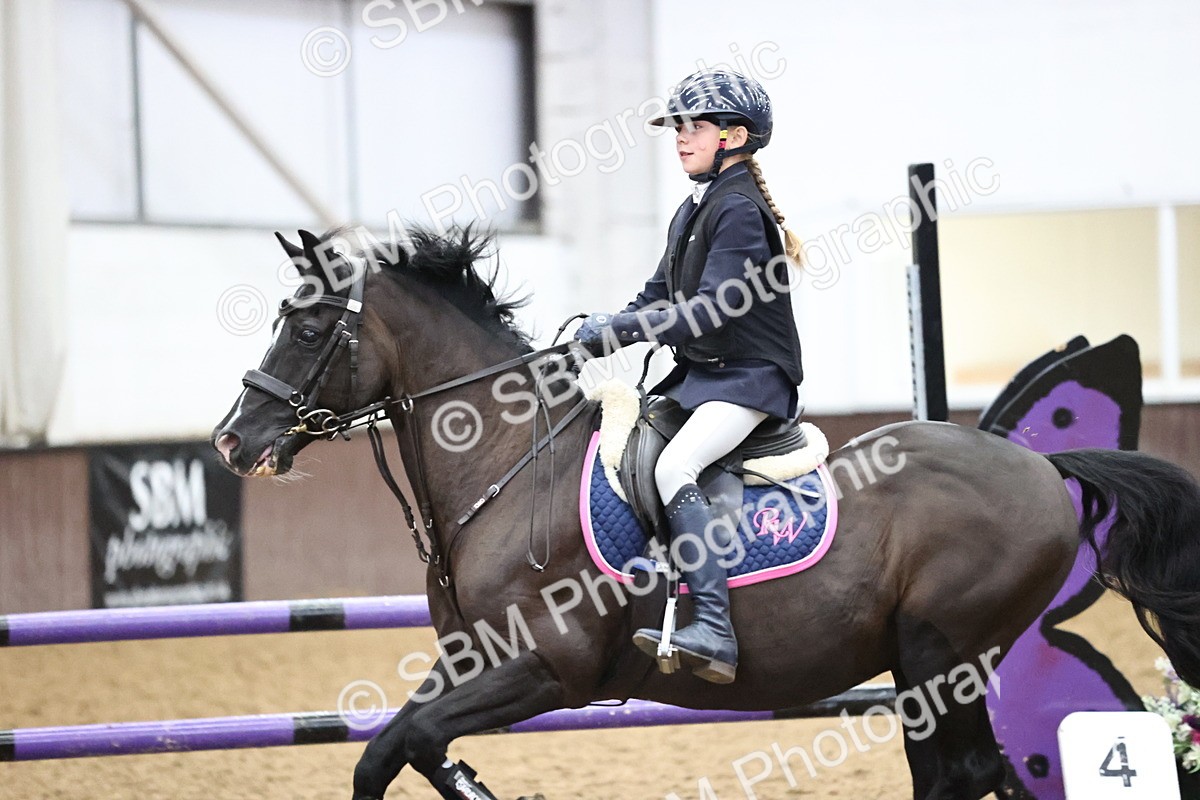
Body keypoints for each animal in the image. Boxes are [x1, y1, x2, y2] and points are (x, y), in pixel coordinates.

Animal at [211, 227, 1200, 800]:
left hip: (940, 651)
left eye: (308, 330)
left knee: (965, 770)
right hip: (928, 665)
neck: (507, 467)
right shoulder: (470, 663)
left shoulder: (549, 672)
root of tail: (1035, 460)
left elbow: (404, 744)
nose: (231, 440)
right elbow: (395, 750)